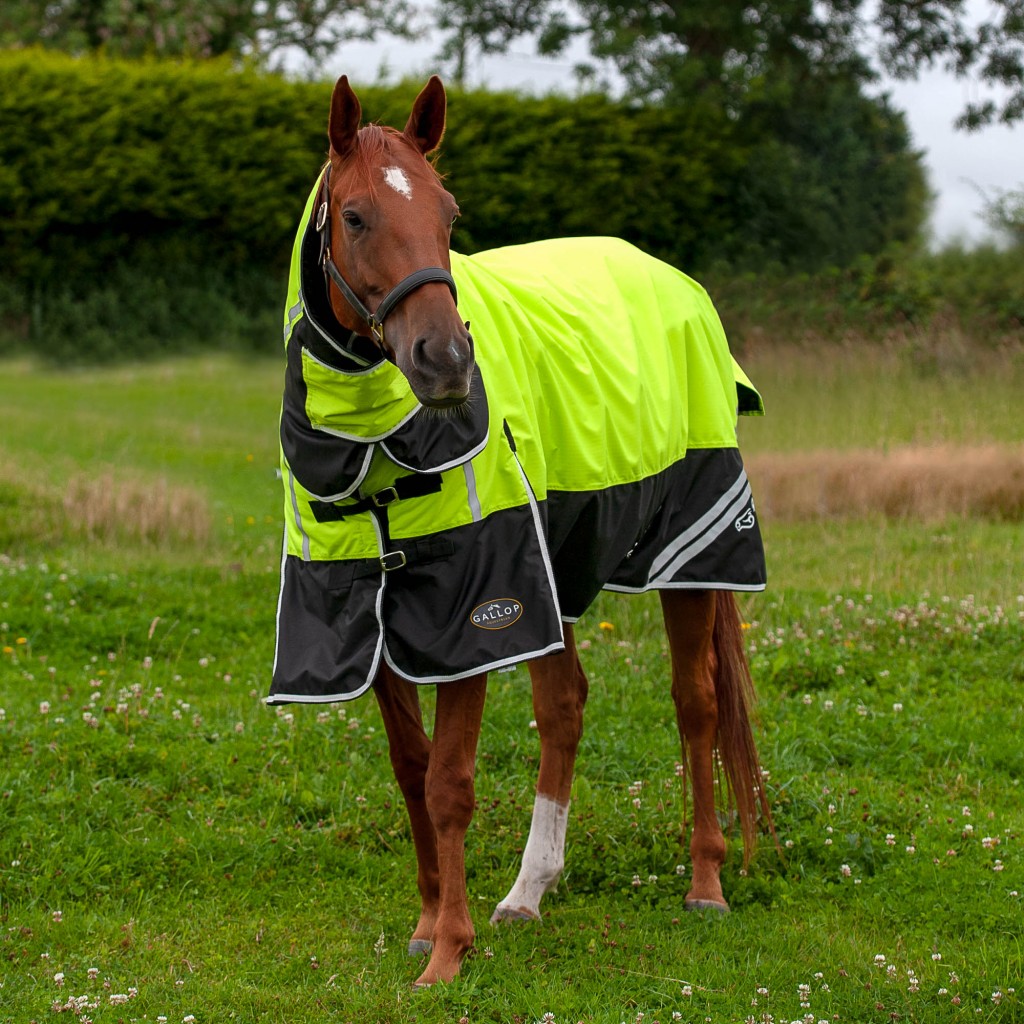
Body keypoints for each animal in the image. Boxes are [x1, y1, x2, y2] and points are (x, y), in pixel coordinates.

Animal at [268, 74, 773, 989]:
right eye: (354, 216)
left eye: (449, 212)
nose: (444, 362)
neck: (375, 439)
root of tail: (675, 283)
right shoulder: (373, 611)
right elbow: (411, 772)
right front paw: (430, 922)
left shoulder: (473, 608)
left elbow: (450, 782)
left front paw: (448, 953)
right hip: (560, 564)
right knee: (565, 707)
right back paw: (529, 892)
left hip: (689, 551)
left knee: (697, 705)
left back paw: (706, 884)